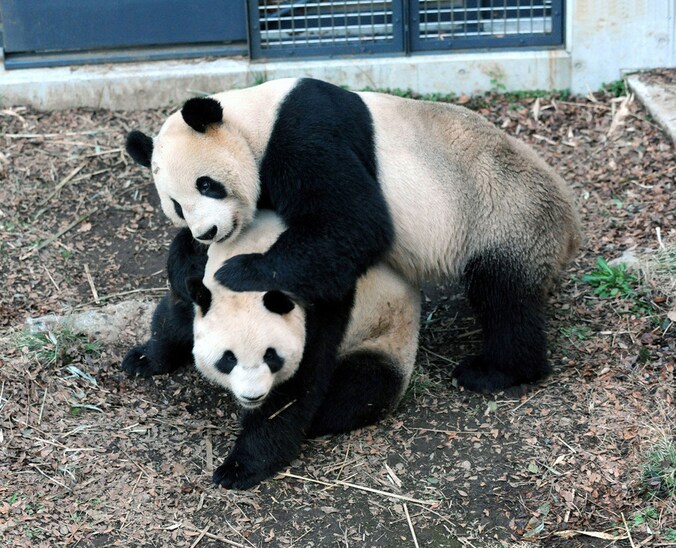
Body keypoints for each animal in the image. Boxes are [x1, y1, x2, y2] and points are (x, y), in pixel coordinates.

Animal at [123, 211, 420, 489]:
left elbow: (294, 392)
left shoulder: (322, 308)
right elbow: (176, 315)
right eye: (228, 359)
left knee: (362, 387)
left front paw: (238, 468)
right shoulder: (201, 283)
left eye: (270, 356)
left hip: (385, 339)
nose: (252, 396)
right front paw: (143, 359)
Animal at [126, 77, 581, 394]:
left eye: (207, 185)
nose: (208, 231)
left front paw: (240, 271)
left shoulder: (304, 133)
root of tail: (570, 224)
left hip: (505, 218)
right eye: (176, 205)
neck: (255, 119)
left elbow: (354, 221)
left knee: (504, 299)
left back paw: (495, 371)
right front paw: (184, 266)